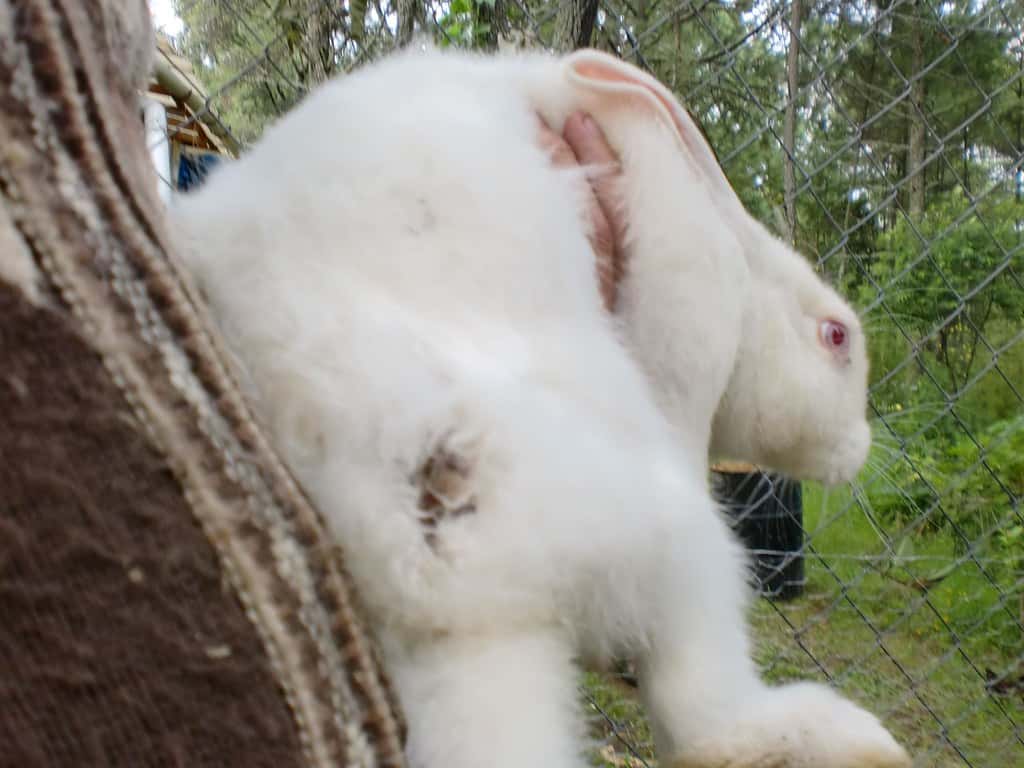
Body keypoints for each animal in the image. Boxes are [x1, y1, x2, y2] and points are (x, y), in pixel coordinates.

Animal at [169, 43, 908, 768]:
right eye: (837, 336)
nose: (862, 450)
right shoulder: (686, 265)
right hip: (682, 549)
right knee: (702, 722)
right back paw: (856, 741)